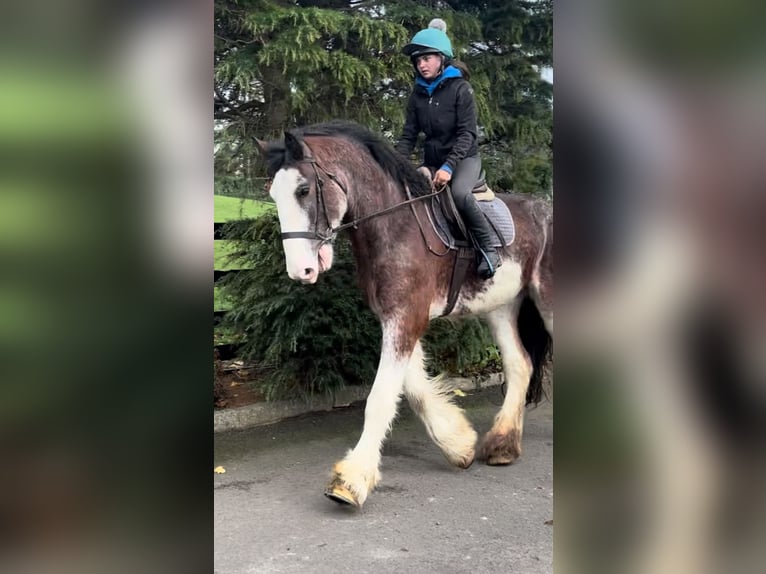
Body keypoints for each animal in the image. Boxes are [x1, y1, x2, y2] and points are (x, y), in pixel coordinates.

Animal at [256, 120, 552, 508]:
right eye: (274, 194)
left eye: (304, 189)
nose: (300, 271)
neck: (395, 226)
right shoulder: (395, 317)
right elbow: (412, 389)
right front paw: (458, 444)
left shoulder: (407, 317)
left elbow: (381, 397)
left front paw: (351, 481)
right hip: (502, 307)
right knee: (521, 365)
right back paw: (502, 444)